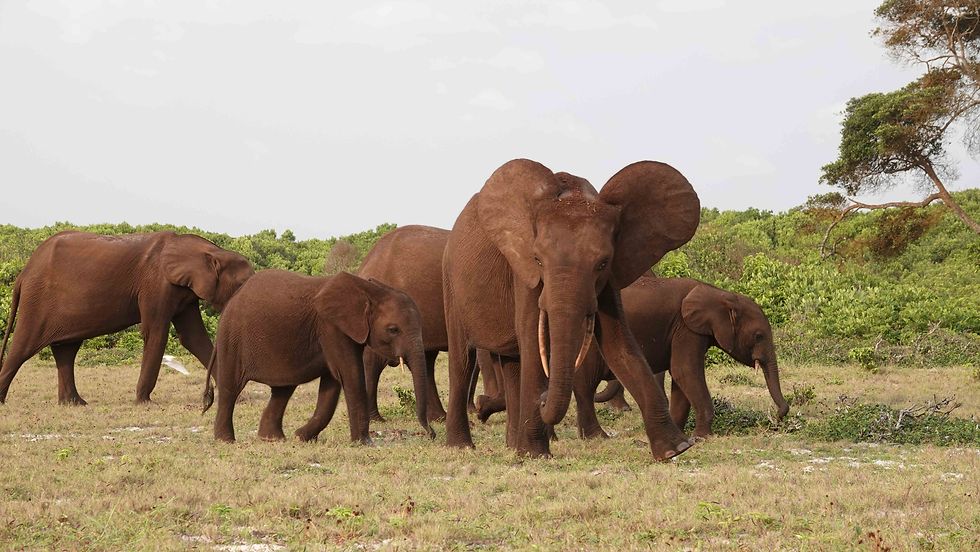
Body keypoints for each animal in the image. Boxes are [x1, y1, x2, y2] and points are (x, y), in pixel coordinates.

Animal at [0, 230, 254, 405]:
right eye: (243, 284)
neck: (210, 249)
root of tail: (23, 272)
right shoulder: (156, 284)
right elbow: (156, 333)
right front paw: (144, 402)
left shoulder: (184, 292)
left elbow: (193, 337)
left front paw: (237, 399)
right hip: (37, 300)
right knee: (23, 346)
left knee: (66, 350)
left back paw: (75, 403)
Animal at [201, 270, 434, 444]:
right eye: (393, 330)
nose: (431, 434)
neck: (368, 290)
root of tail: (233, 299)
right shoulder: (331, 327)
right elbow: (349, 374)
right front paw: (366, 443)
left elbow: (332, 383)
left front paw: (301, 437)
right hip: (232, 338)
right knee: (230, 387)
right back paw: (226, 441)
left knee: (283, 389)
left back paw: (273, 439)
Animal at [442, 158, 701, 459]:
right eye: (538, 260)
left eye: (602, 263)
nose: (543, 401)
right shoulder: (524, 273)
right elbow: (533, 341)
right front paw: (536, 455)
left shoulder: (610, 278)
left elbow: (619, 343)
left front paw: (676, 448)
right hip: (451, 282)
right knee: (462, 361)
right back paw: (461, 446)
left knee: (513, 364)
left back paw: (512, 445)